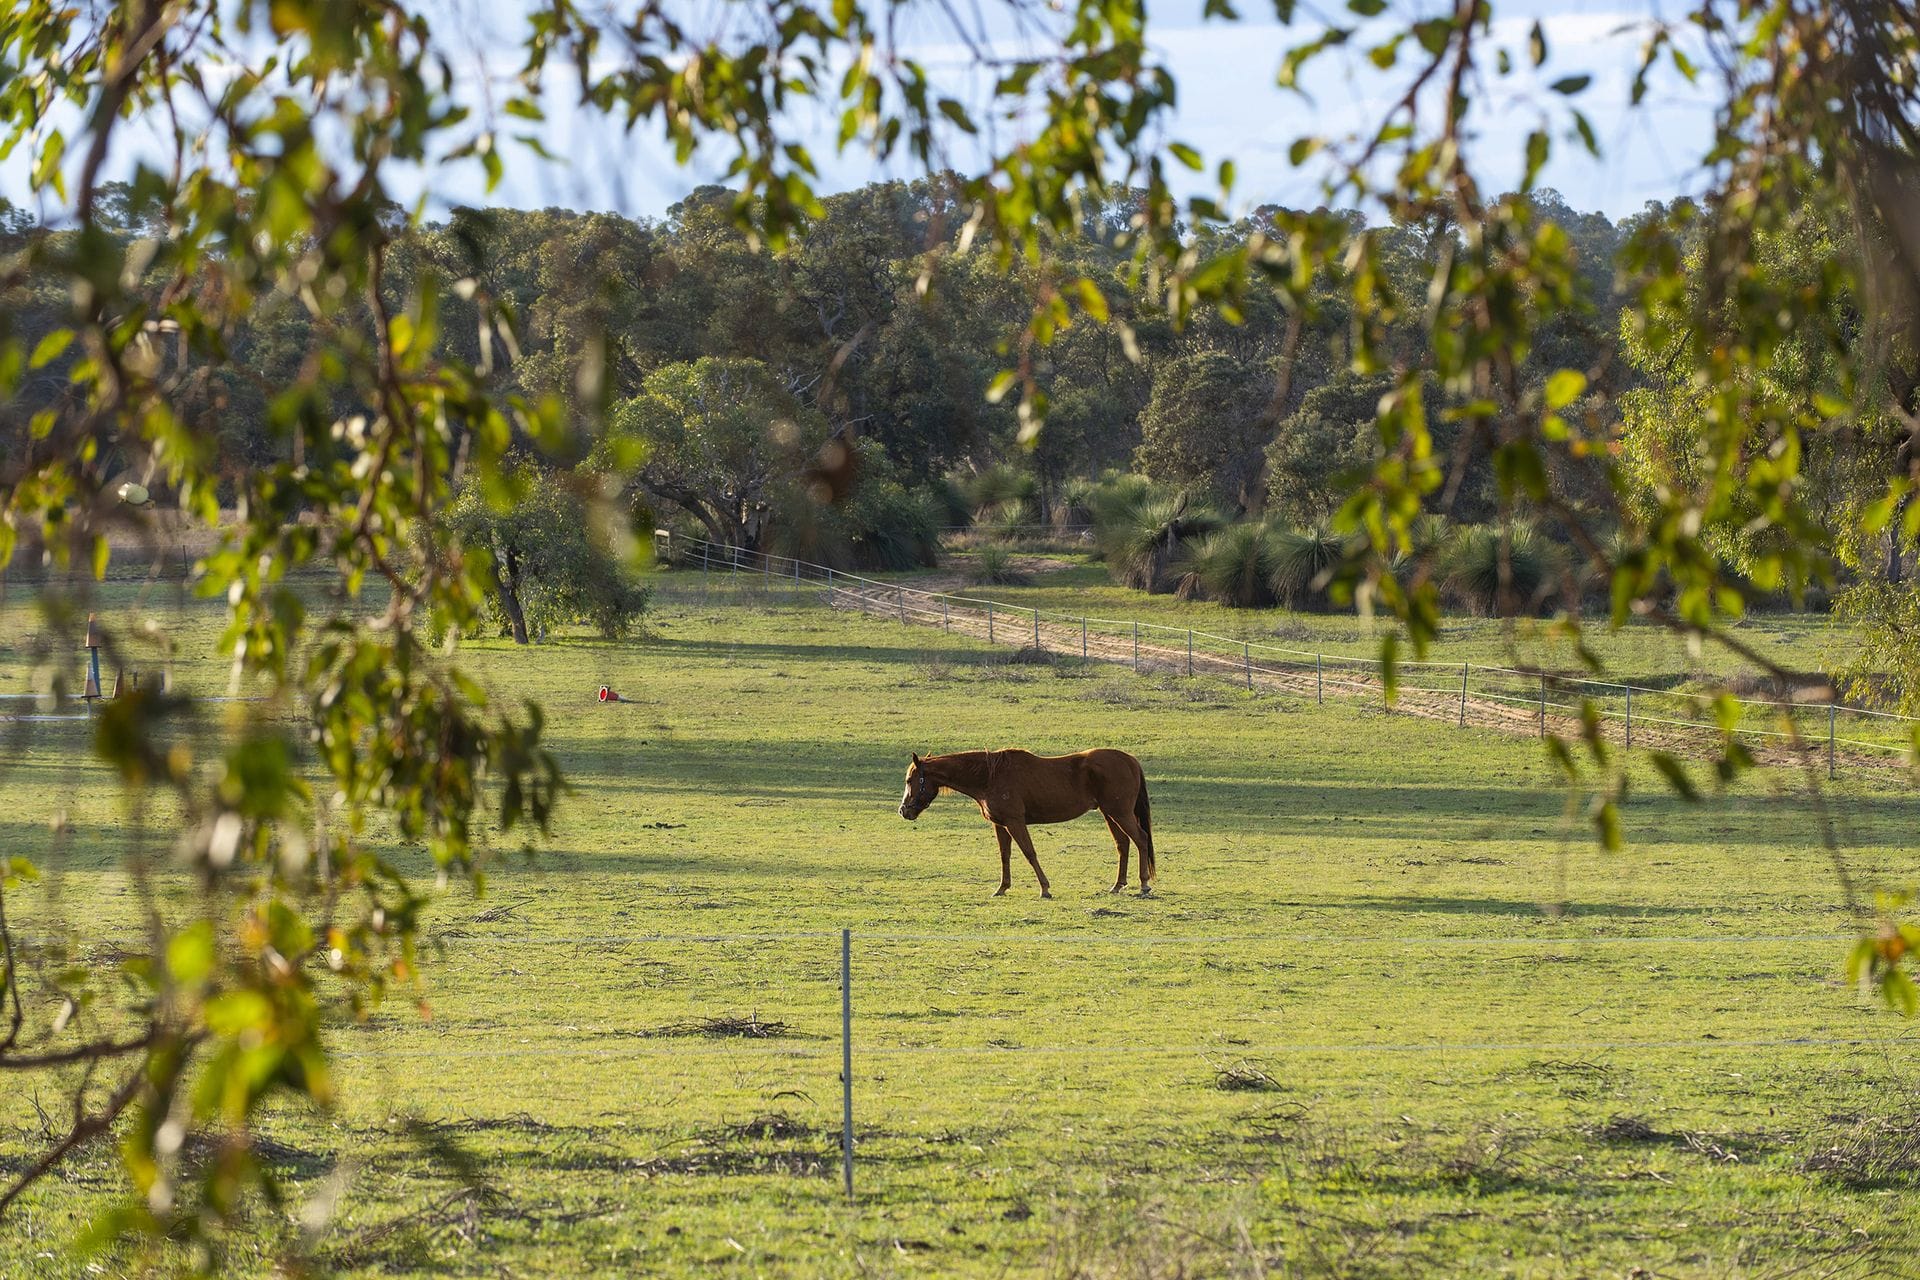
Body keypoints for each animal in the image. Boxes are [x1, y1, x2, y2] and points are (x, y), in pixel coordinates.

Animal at [898, 744, 1152, 898]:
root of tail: (1130, 760)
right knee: (1123, 845)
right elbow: (1005, 855)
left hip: (1119, 813)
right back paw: (1117, 885)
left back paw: (1144, 884)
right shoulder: (1000, 824)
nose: (904, 811)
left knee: (1141, 839)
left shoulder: (1015, 822)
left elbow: (1029, 853)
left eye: (910, 780)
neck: (989, 777)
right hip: (1110, 814)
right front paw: (1002, 888)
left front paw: (1045, 888)